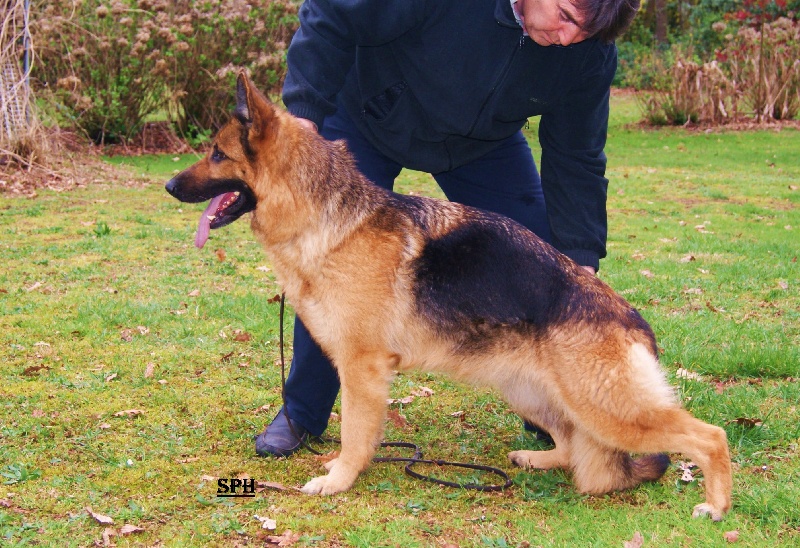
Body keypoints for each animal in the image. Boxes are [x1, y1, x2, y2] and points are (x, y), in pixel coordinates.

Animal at [167, 75, 732, 520]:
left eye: (217, 154)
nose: (169, 186)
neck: (327, 219)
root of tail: (632, 320)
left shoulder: (362, 369)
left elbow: (354, 433)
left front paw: (340, 479)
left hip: (608, 409)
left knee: (709, 436)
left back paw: (717, 505)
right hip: (533, 392)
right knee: (572, 443)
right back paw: (539, 459)